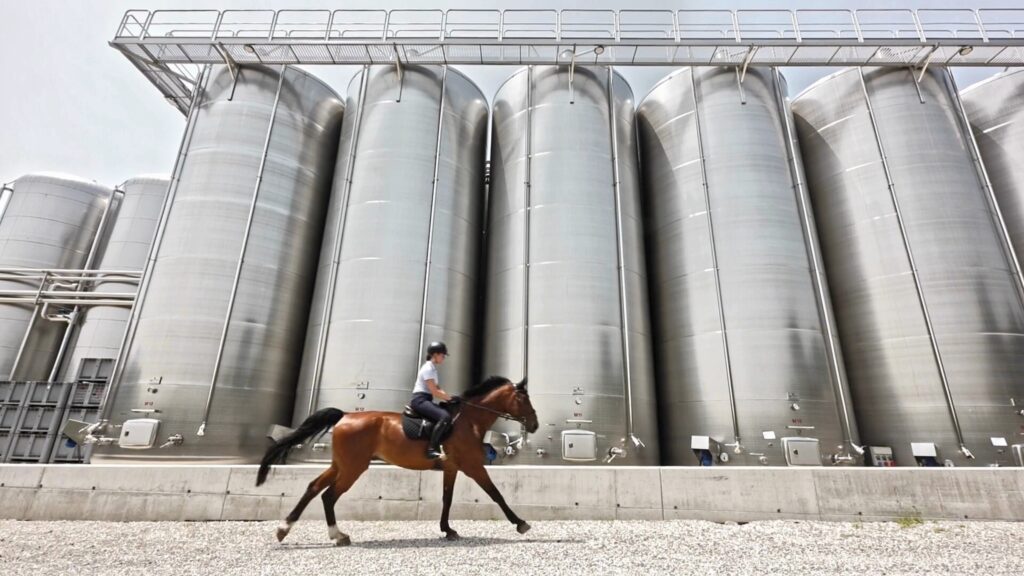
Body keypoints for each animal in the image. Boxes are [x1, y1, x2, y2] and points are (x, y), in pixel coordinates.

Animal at [256, 375, 540, 545]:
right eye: (523, 398)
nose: (535, 425)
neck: (469, 421)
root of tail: (345, 415)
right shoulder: (473, 466)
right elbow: (496, 493)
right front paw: (521, 523)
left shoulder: (452, 467)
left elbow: (447, 498)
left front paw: (447, 530)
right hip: (353, 467)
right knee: (329, 494)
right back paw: (335, 534)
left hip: (341, 465)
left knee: (314, 488)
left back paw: (286, 529)